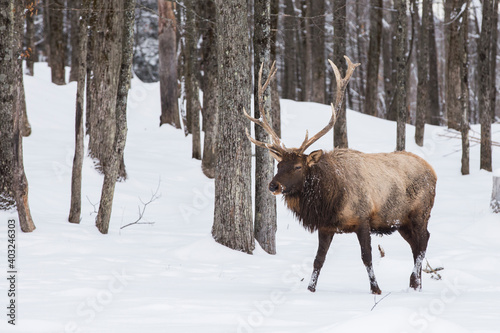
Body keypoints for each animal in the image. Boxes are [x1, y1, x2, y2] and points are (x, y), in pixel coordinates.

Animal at [244, 56, 436, 294]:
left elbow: (367, 257)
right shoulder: (326, 226)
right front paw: (310, 289)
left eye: (297, 167)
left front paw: (376, 289)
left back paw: (415, 282)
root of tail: (432, 171)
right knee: (416, 244)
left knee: (423, 242)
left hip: (420, 213)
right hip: (401, 222)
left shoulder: (363, 219)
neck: (330, 199)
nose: (273, 186)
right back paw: (415, 284)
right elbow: (318, 259)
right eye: (278, 165)